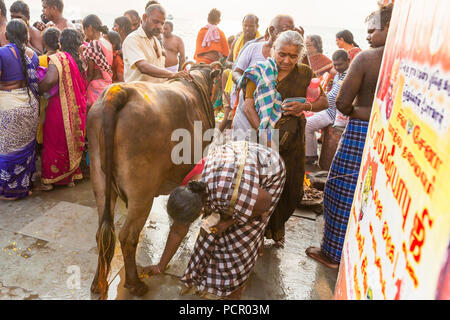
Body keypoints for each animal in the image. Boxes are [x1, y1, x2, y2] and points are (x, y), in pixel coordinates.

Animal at [87, 63, 222, 298]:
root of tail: (119, 91)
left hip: (101, 183)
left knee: (102, 233)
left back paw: (98, 283)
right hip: (142, 192)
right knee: (127, 236)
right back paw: (136, 284)